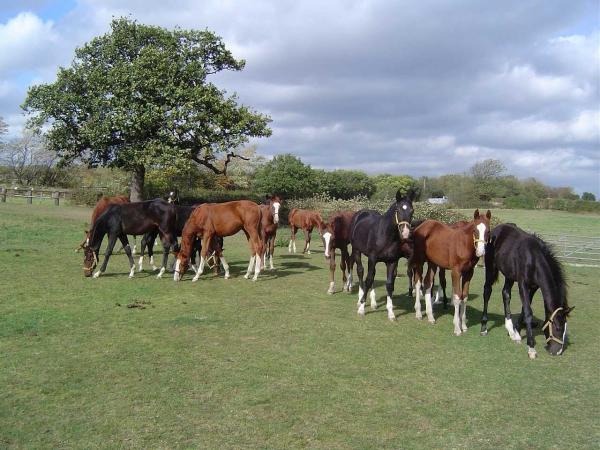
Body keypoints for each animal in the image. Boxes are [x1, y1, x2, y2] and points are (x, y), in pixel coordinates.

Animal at [350, 188, 414, 322]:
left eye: (412, 210)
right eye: (398, 210)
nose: (405, 233)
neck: (386, 235)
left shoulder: (392, 261)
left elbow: (389, 284)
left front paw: (391, 313)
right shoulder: (372, 258)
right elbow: (368, 279)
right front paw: (362, 308)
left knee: (372, 275)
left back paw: (374, 302)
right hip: (357, 251)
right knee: (361, 271)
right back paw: (360, 299)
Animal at [478, 224, 572, 358]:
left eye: (564, 329)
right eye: (558, 327)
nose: (557, 351)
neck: (533, 258)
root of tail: (497, 229)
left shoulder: (533, 287)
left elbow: (524, 309)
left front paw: (516, 332)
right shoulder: (523, 284)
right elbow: (528, 312)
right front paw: (531, 347)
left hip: (509, 275)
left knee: (505, 294)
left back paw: (510, 329)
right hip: (491, 268)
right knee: (487, 292)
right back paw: (484, 327)